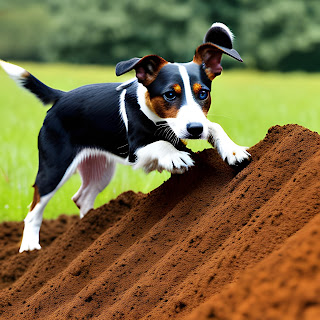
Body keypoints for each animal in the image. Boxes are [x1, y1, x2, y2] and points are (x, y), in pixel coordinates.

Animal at [0, 22, 250, 252]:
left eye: (203, 94)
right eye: (170, 95)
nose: (195, 129)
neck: (153, 114)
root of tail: (61, 96)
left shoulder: (191, 128)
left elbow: (214, 126)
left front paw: (234, 150)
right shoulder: (136, 150)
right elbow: (161, 143)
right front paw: (175, 157)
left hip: (100, 168)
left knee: (82, 197)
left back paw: (89, 231)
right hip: (54, 168)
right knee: (34, 209)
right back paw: (29, 248)